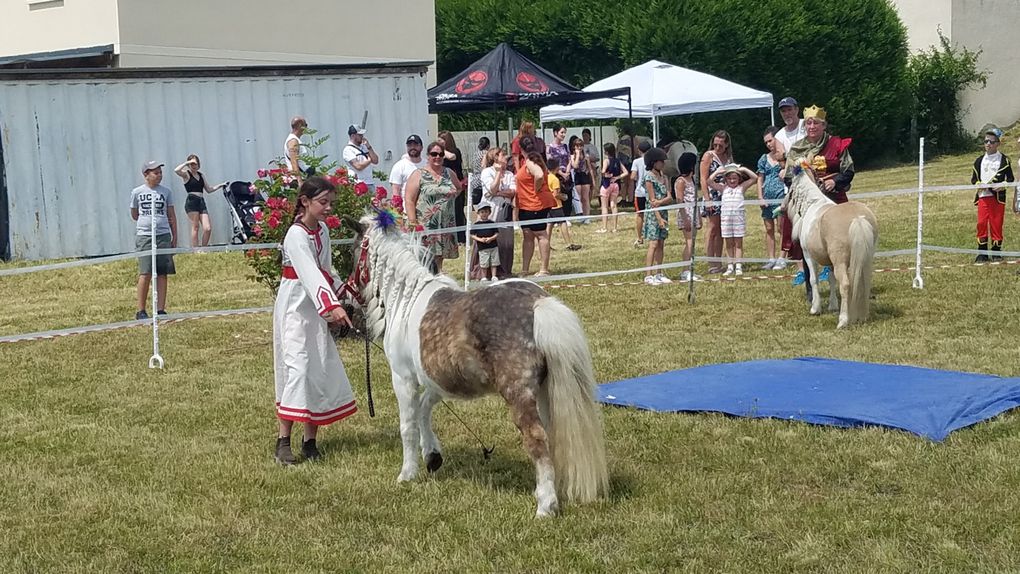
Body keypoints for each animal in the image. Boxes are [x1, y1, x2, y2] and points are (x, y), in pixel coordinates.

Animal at [346, 213, 607, 517]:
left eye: (355, 252)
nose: (349, 293)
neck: (406, 300)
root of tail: (538, 304)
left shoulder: (403, 379)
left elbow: (407, 425)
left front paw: (407, 474)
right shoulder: (437, 381)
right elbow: (424, 409)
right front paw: (432, 456)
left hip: (519, 395)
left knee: (536, 438)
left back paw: (545, 506)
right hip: (546, 390)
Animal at [783, 170, 881, 328]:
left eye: (790, 189)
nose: (783, 206)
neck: (813, 204)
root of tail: (858, 218)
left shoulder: (809, 256)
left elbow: (813, 280)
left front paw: (815, 308)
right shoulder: (830, 262)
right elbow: (831, 279)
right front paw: (833, 305)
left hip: (840, 261)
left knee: (845, 284)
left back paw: (843, 321)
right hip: (864, 259)